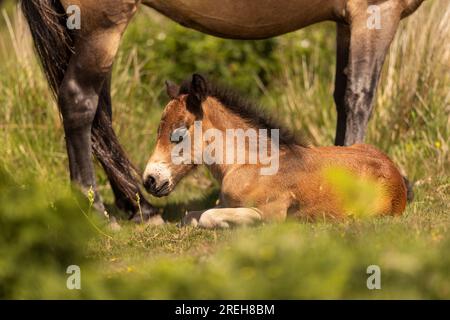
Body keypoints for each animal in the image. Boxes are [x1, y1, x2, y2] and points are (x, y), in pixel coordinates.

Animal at [19, 0, 424, 221]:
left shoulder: (346, 21)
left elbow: (342, 96)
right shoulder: (374, 12)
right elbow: (359, 96)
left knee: (101, 114)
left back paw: (137, 206)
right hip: (102, 24)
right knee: (79, 102)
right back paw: (101, 210)